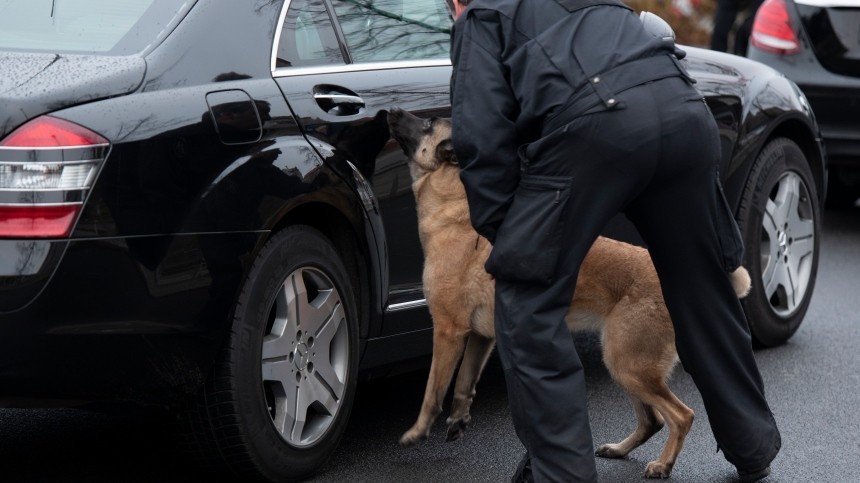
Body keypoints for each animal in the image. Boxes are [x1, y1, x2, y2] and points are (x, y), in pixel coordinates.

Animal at [386, 107, 748, 480]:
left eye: (427, 123)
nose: (391, 110)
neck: (452, 202)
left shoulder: (448, 331)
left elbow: (433, 390)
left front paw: (417, 432)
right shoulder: (480, 337)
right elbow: (463, 384)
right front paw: (458, 420)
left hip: (627, 364)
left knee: (681, 415)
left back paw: (663, 464)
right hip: (624, 365)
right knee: (653, 420)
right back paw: (619, 450)